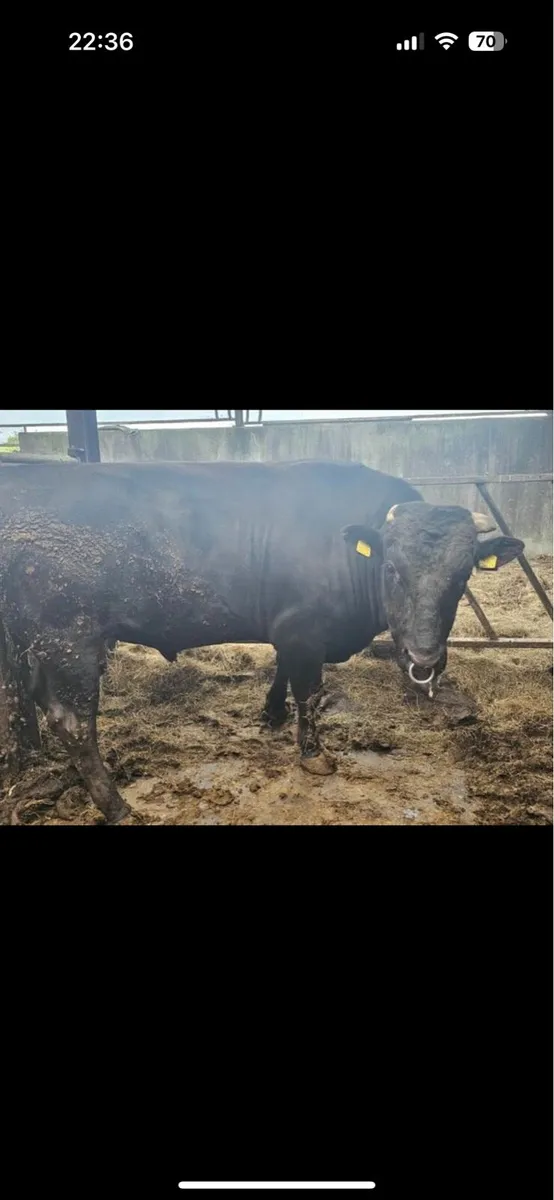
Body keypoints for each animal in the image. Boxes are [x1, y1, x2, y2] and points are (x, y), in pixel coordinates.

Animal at [0, 459, 524, 823]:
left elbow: (283, 672)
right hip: (70, 639)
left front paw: (271, 715)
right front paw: (313, 754)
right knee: (73, 722)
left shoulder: (289, 630)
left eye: (462, 576)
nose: (423, 658)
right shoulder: (304, 629)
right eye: (393, 568)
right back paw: (117, 806)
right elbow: (308, 690)